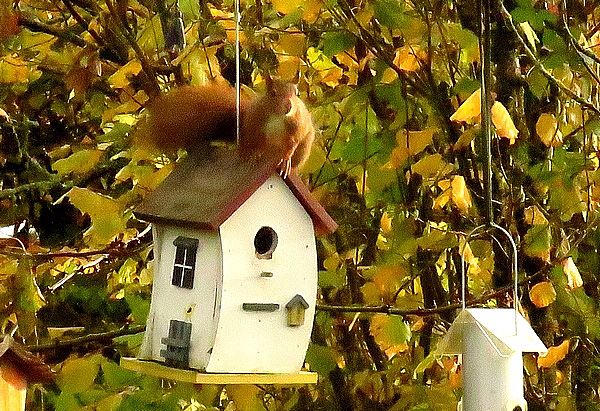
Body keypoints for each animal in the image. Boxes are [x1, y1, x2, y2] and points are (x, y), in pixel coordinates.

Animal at [136, 76, 314, 176]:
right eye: (273, 93)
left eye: (297, 93)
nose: (289, 106)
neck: (278, 116)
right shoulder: (255, 124)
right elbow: (254, 141)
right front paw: (253, 155)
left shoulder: (297, 127)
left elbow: (292, 144)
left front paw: (285, 160)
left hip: (303, 151)